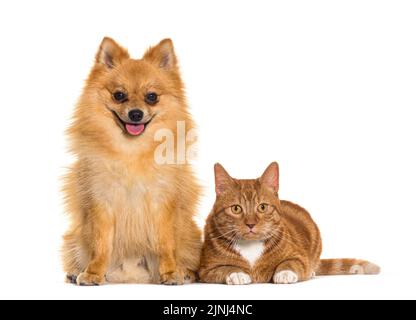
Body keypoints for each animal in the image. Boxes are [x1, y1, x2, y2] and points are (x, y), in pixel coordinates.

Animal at [62, 37, 203, 284]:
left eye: (152, 97)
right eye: (119, 95)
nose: (136, 113)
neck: (132, 151)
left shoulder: (162, 203)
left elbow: (165, 243)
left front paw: (170, 272)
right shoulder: (102, 202)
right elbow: (101, 244)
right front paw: (93, 272)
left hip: (191, 234)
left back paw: (185, 272)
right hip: (75, 237)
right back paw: (75, 272)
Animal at [199, 164, 380, 284]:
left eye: (262, 207)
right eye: (236, 209)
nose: (251, 224)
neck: (250, 247)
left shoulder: (299, 257)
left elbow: (290, 262)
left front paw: (284, 272)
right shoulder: (206, 269)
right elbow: (225, 268)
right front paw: (236, 273)